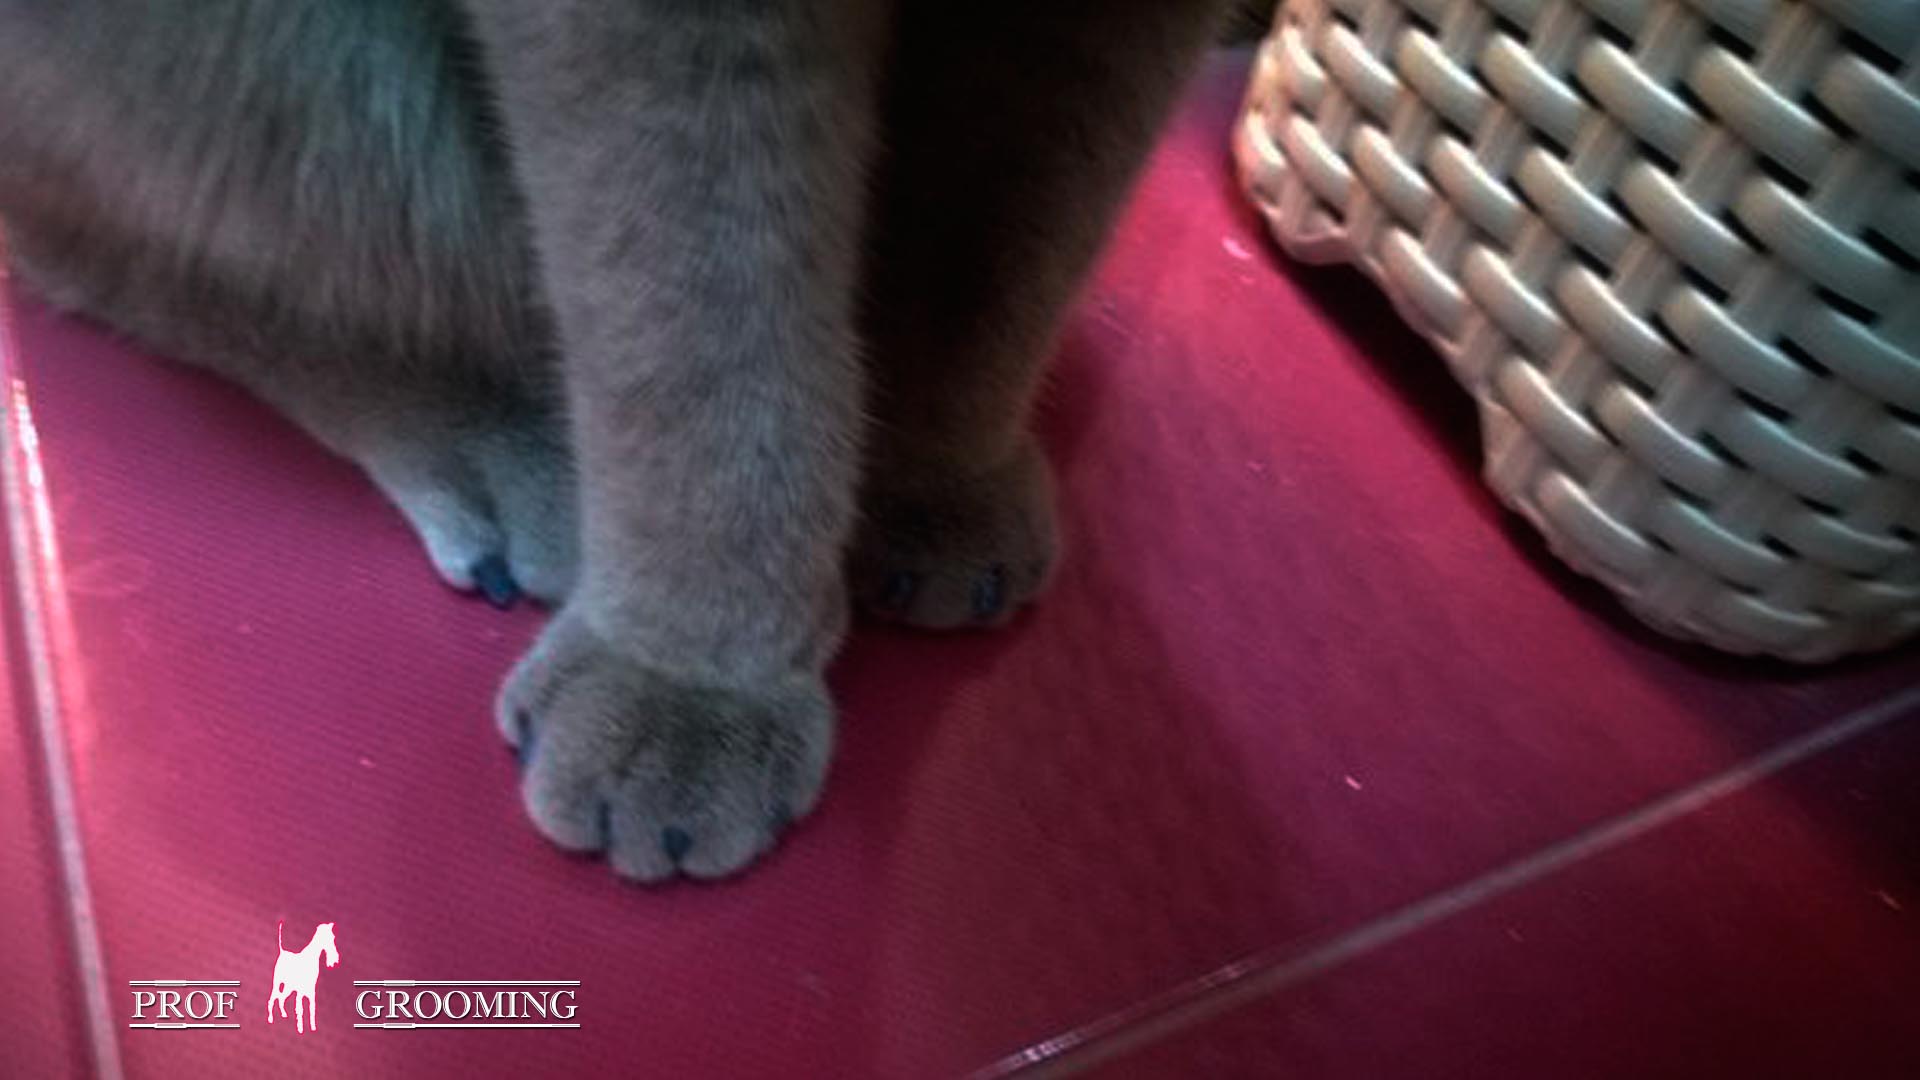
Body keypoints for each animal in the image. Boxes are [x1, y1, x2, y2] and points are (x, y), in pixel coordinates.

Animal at [0, 0, 1234, 881]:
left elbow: (1015, 225)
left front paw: (942, 481)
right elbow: (696, 288)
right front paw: (692, 679)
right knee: (98, 247)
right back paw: (515, 463)